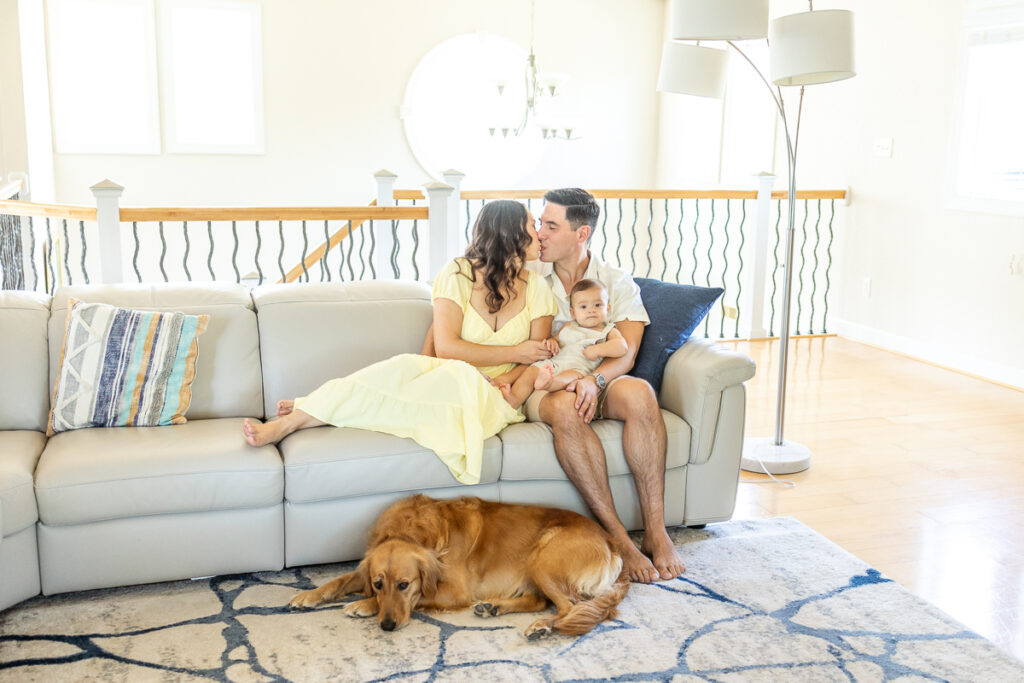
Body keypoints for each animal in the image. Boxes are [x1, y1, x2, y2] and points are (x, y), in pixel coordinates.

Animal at [284, 493, 626, 638]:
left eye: (404, 585)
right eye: (379, 583)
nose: (388, 626)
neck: (410, 529)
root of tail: (612, 542)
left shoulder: (456, 591)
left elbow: (421, 597)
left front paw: (363, 605)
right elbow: (339, 579)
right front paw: (307, 596)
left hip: (541, 559)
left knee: (568, 607)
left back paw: (541, 627)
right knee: (539, 600)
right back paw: (493, 607)